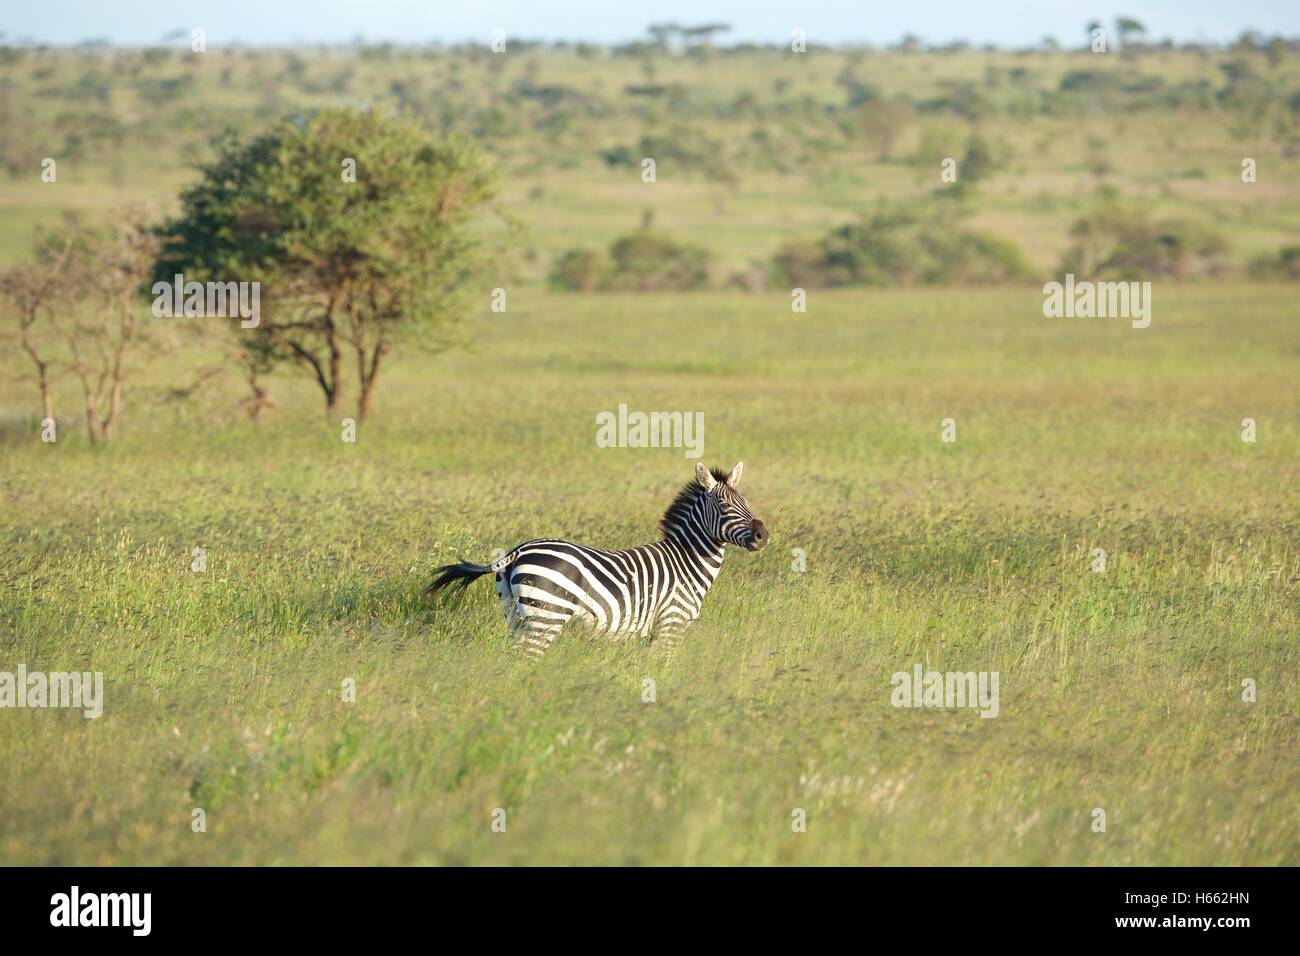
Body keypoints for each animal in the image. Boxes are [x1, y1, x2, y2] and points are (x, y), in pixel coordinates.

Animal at [426, 463, 769, 658]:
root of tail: (519, 551)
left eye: (747, 502)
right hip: (545, 617)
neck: (687, 561)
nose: (763, 535)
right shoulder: (672, 622)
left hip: (515, 615)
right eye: (724, 505)